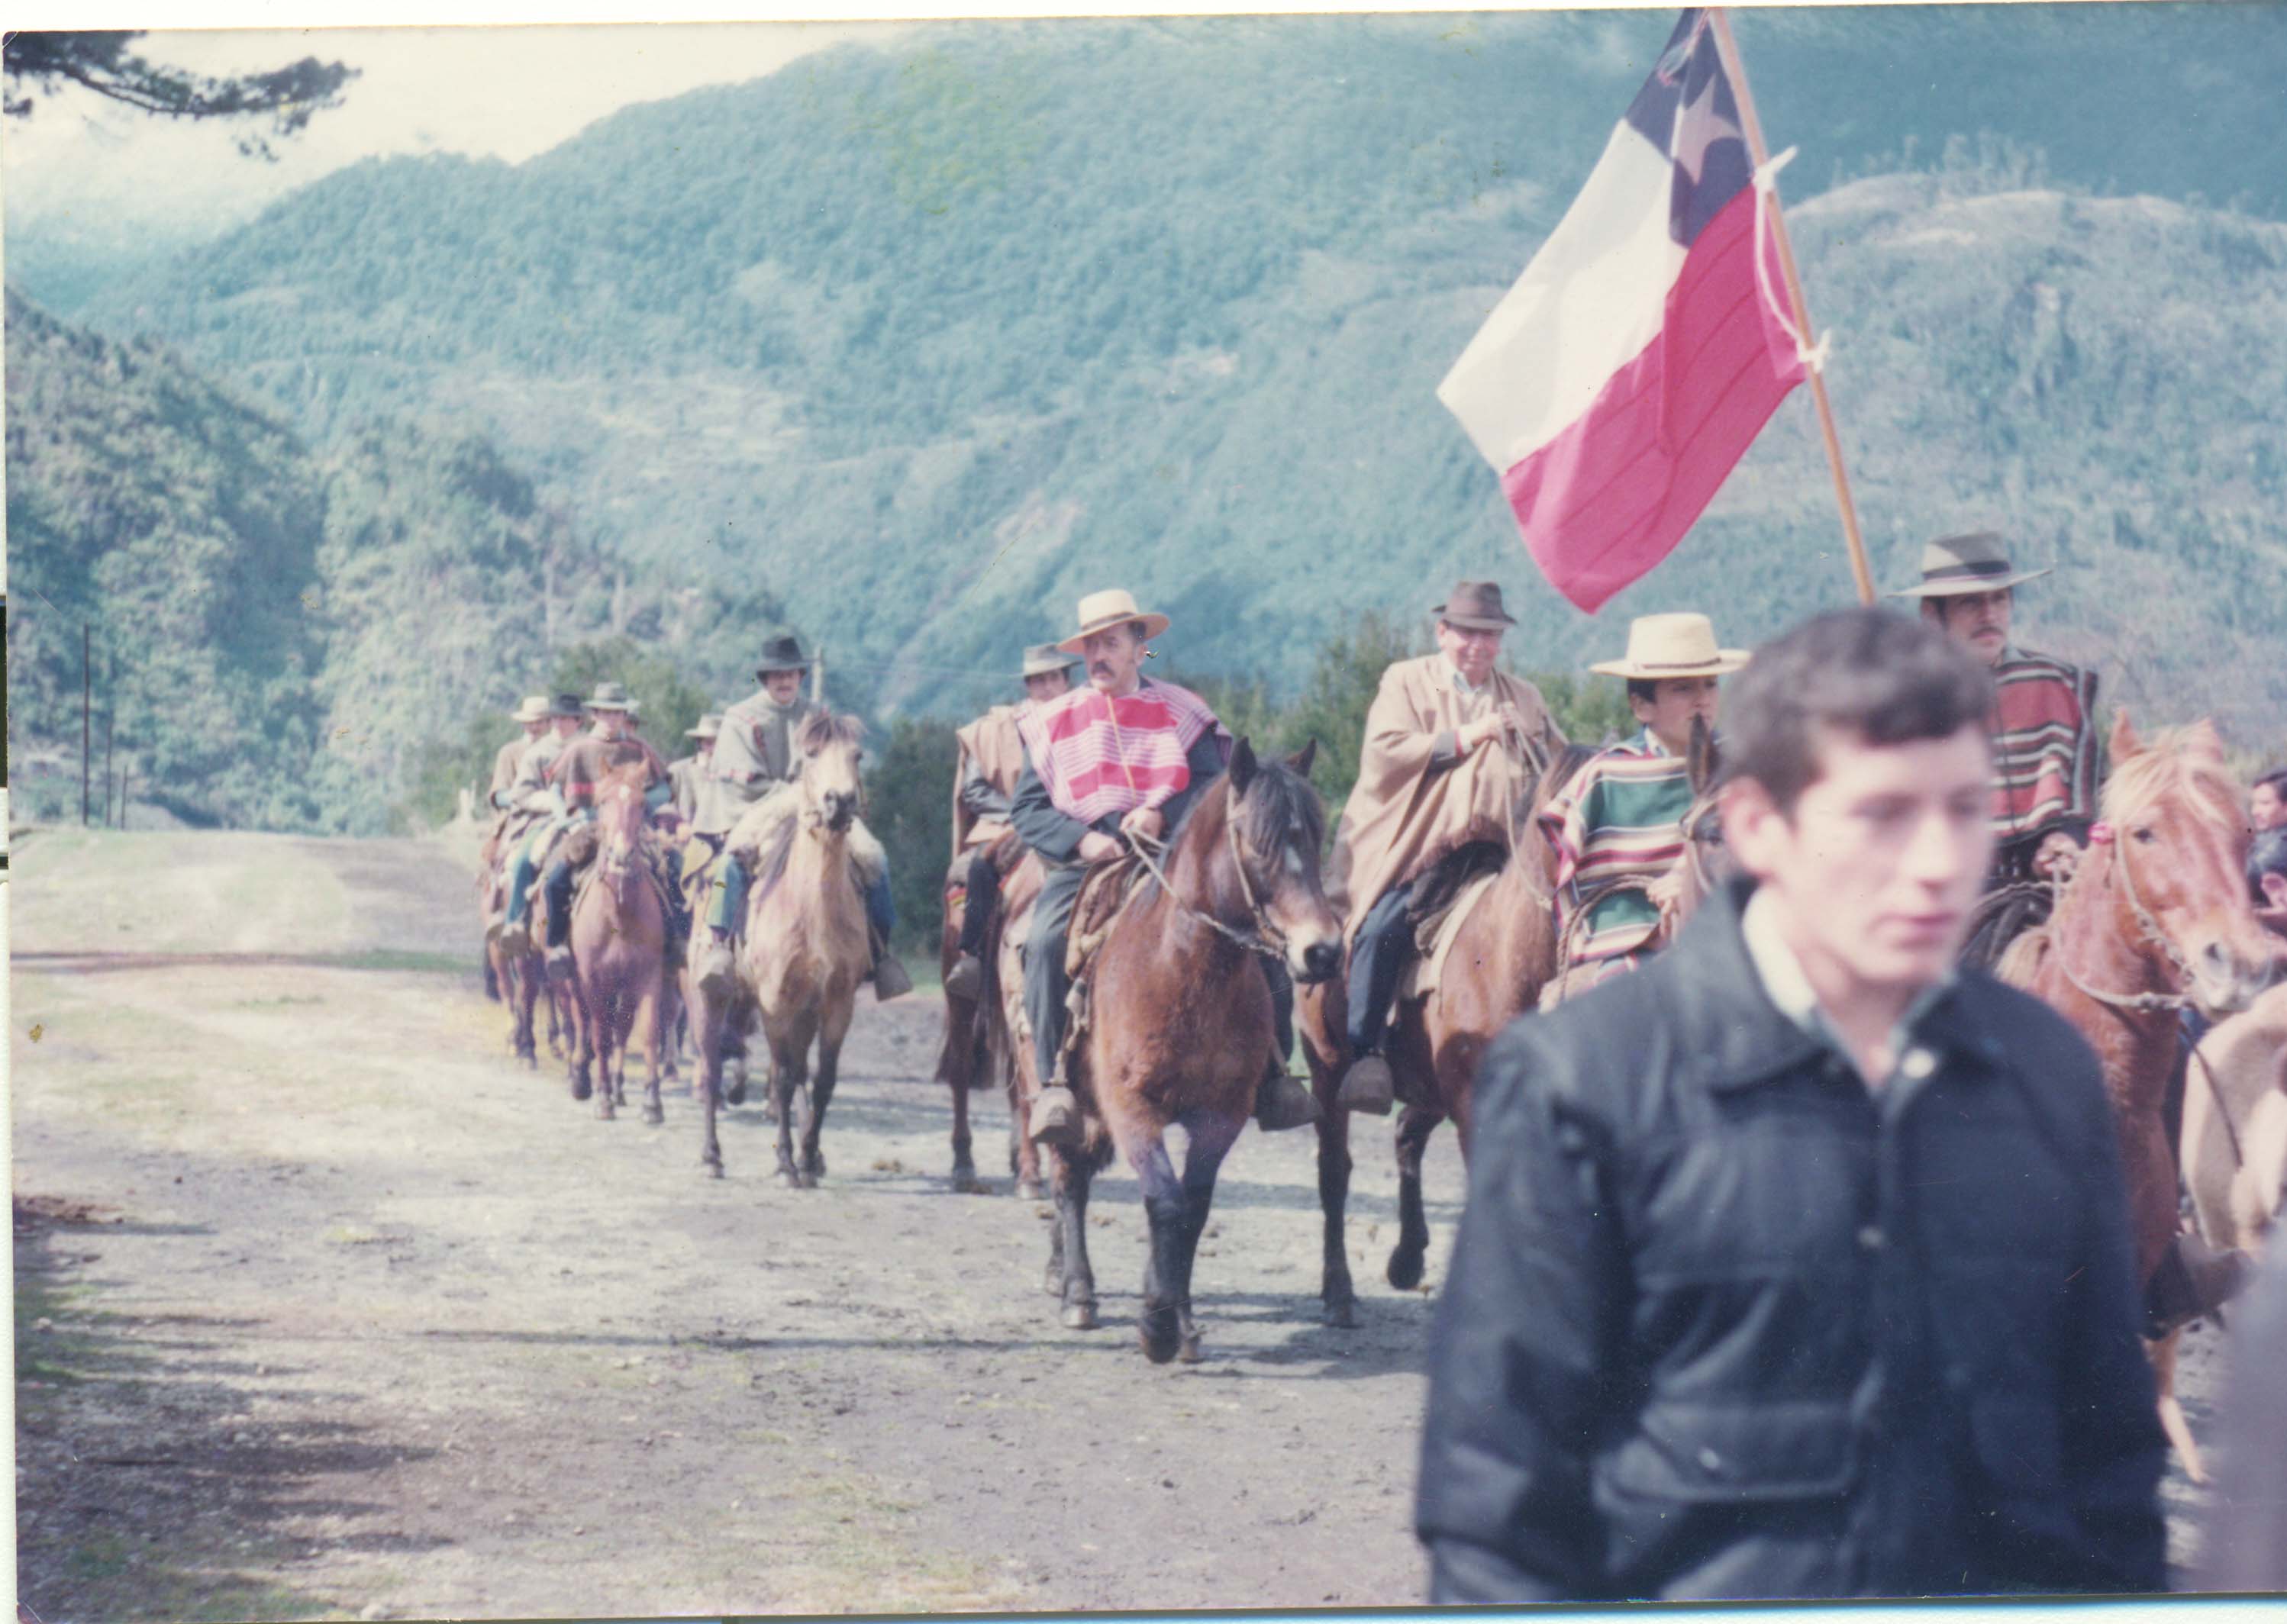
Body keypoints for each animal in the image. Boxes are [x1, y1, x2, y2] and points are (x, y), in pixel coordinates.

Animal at [563, 759, 667, 1120]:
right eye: (603, 801)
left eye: (642, 803)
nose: (621, 856)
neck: (619, 916)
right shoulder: (593, 979)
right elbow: (599, 1036)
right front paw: (603, 1099)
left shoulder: (648, 976)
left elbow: (647, 1034)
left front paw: (652, 1103)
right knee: (586, 1025)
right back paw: (586, 1081)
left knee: (622, 1028)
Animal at [685, 709, 873, 1180]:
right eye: (811, 754)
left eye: (857, 755)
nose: (839, 802)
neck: (810, 909)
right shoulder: (775, 1000)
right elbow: (785, 1077)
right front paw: (788, 1162)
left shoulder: (836, 1001)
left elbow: (821, 1079)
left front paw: (808, 1155)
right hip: (709, 997)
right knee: (712, 1068)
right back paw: (712, 1154)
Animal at [1002, 741, 1335, 1363]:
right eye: (1255, 839)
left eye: (1316, 837)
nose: (1322, 951)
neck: (1183, 970)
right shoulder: (1133, 1109)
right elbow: (1164, 1202)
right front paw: (1156, 1327)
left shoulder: (1221, 1114)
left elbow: (1192, 1210)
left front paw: (1179, 1320)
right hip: (1055, 1095)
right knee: (1068, 1179)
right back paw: (1076, 1291)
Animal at [1298, 746, 1601, 1326]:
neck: (1506, 953)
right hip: (1328, 1073)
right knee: (1334, 1173)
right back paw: (1338, 1291)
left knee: (1406, 1136)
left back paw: (1407, 1259)